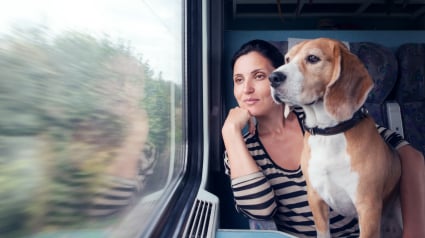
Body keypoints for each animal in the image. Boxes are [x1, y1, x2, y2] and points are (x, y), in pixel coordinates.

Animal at [268, 38, 400, 237]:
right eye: (287, 59)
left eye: (313, 58)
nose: (273, 77)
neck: (328, 132)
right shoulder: (315, 199)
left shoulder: (368, 207)